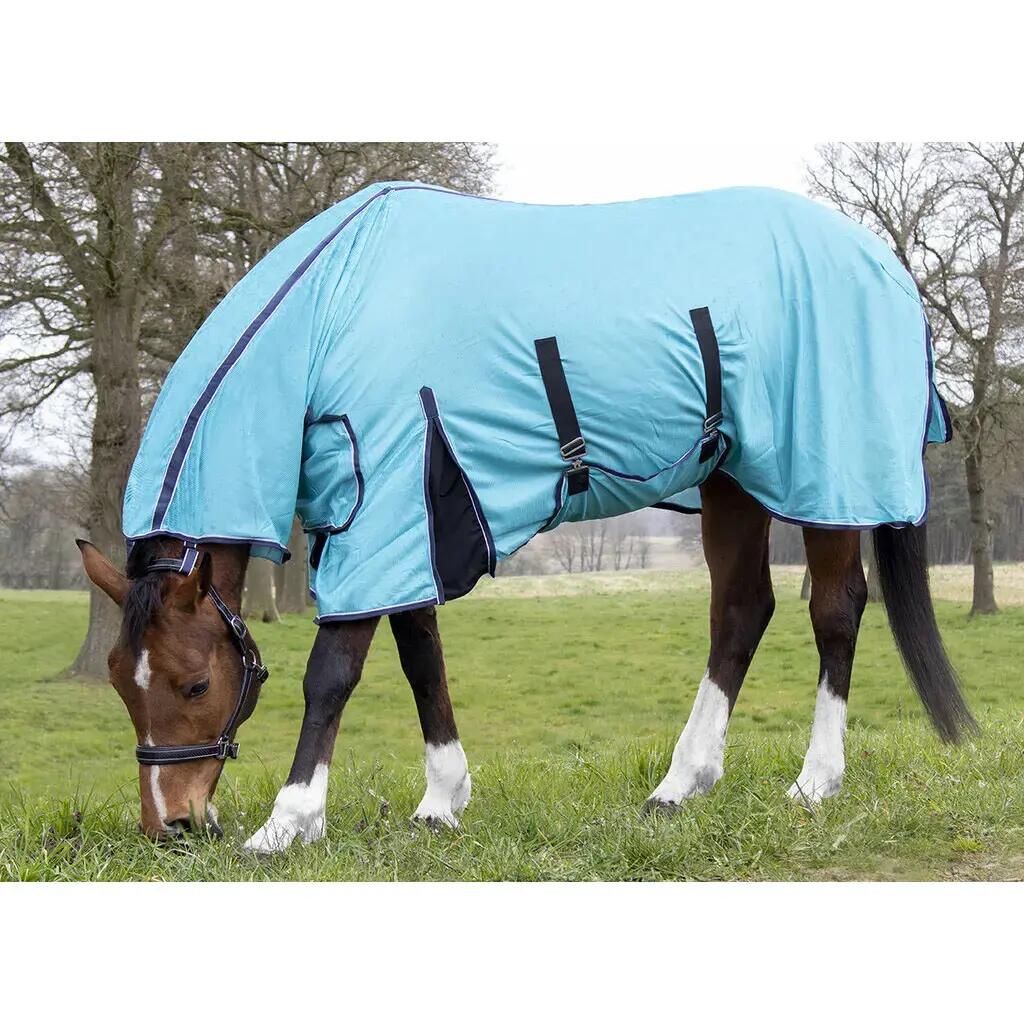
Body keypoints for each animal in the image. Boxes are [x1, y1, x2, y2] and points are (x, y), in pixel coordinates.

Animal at [75, 183, 975, 848]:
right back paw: (679, 786)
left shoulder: (386, 502)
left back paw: (815, 783)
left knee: (836, 611)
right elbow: (421, 659)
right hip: (733, 480)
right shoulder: (402, 519)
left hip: (827, 473)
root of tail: (884, 264)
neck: (330, 315)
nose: (173, 825)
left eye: (195, 682)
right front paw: (441, 802)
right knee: (741, 610)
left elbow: (332, 672)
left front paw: (288, 824)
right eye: (119, 679)